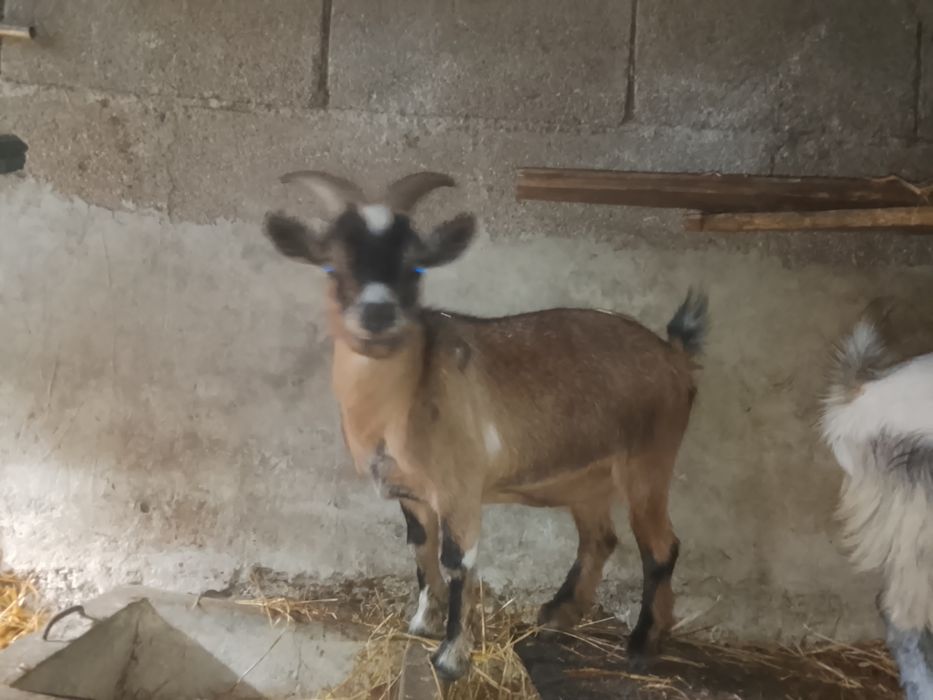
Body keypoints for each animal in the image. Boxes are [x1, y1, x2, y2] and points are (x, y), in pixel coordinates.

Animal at [262, 171, 709, 681]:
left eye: (415, 268)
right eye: (331, 268)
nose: (378, 315)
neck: (403, 398)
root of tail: (675, 357)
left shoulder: (460, 488)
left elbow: (458, 562)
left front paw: (451, 656)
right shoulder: (413, 494)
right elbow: (420, 550)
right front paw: (422, 621)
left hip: (649, 461)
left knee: (661, 546)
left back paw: (643, 643)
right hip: (587, 477)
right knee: (600, 538)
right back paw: (559, 614)